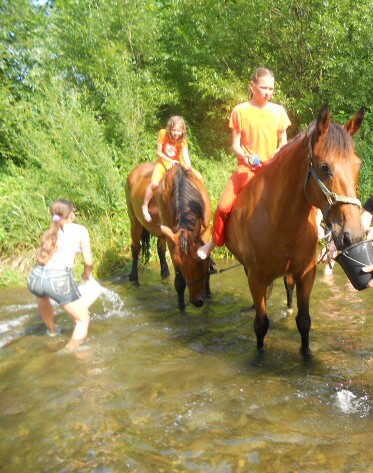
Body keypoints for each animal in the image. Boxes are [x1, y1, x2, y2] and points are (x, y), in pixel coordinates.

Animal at [125, 162, 211, 310]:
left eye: (200, 262)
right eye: (180, 265)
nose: (197, 301)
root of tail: (134, 171)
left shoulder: (206, 233)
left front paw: (209, 293)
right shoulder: (173, 242)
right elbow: (180, 281)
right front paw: (181, 307)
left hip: (161, 232)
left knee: (160, 249)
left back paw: (165, 274)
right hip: (135, 223)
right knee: (135, 248)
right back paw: (134, 277)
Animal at [224, 107, 364, 356]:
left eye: (357, 165)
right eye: (324, 168)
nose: (353, 234)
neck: (279, 218)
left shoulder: (306, 273)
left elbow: (304, 321)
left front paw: (306, 354)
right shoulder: (257, 278)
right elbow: (261, 325)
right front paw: (259, 357)